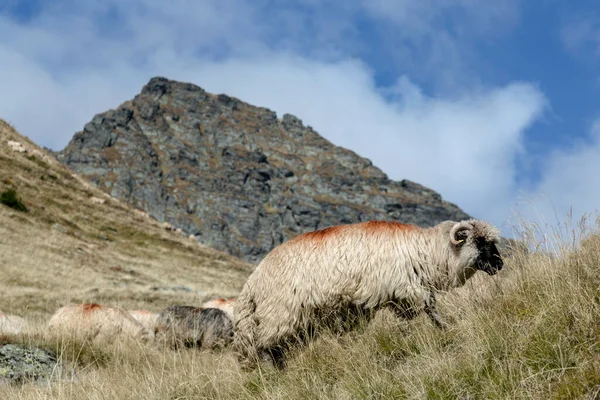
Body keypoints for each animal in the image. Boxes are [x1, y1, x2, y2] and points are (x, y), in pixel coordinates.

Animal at [232, 219, 504, 368]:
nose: (500, 264)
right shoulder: (407, 288)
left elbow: (416, 317)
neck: (427, 251)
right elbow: (429, 310)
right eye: (480, 241)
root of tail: (251, 284)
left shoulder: (400, 295)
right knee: (266, 349)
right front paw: (445, 328)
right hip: (279, 315)